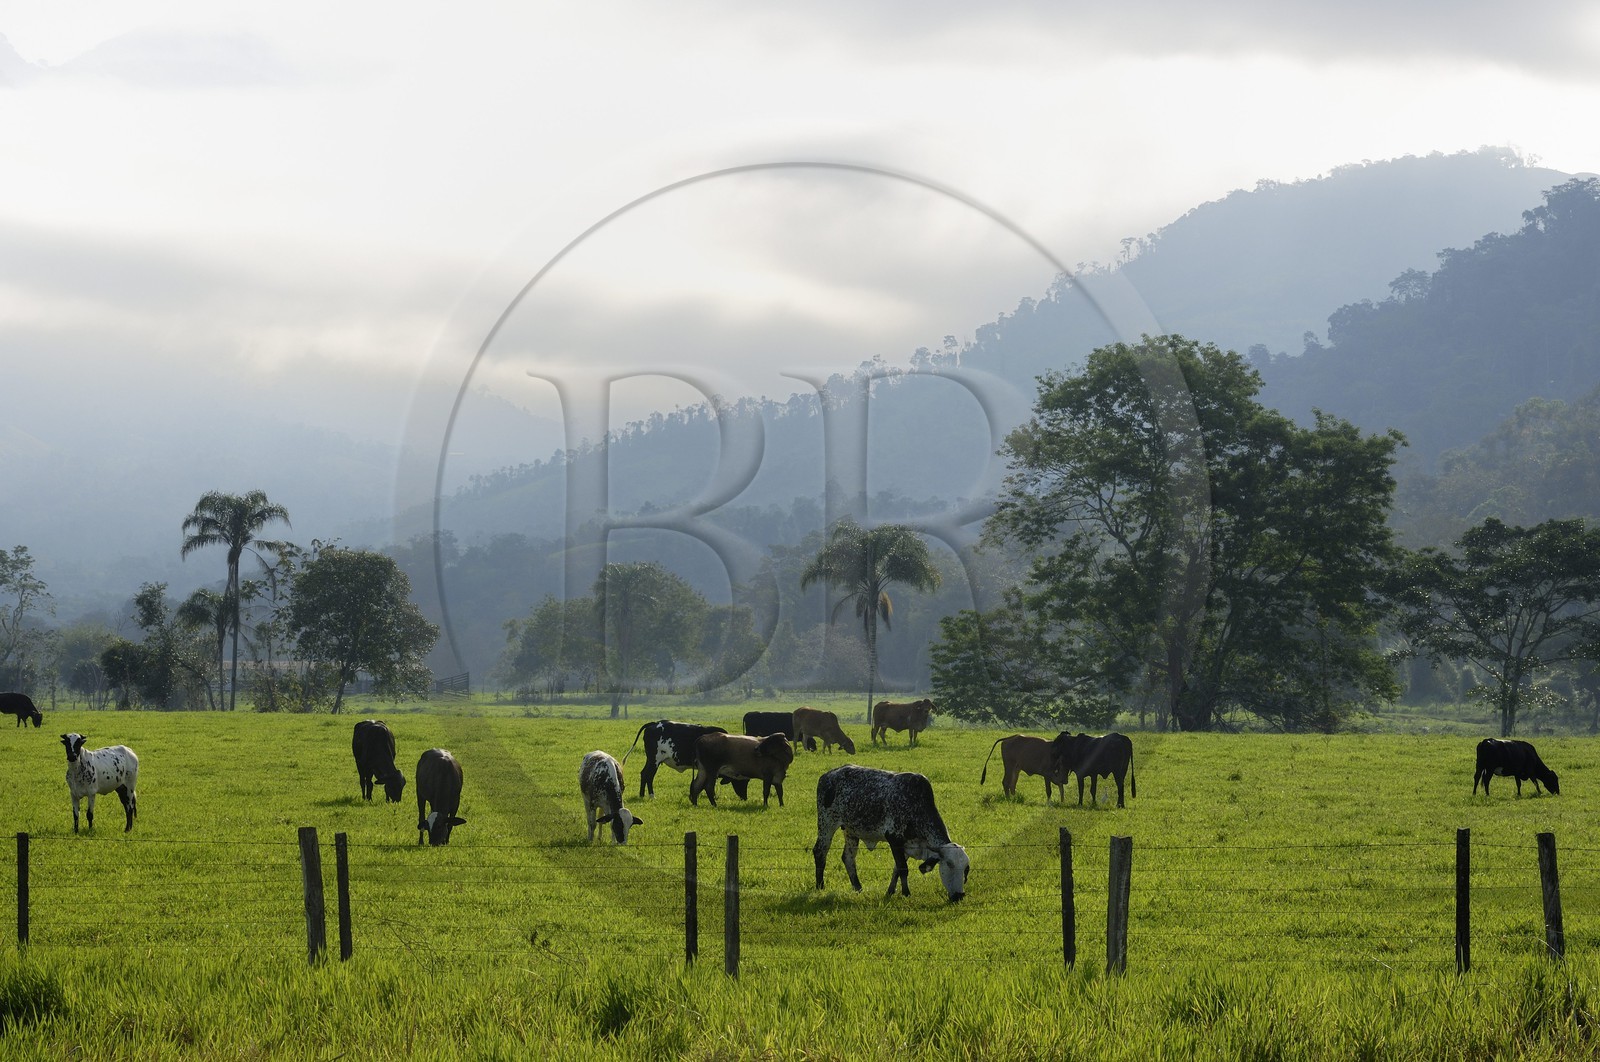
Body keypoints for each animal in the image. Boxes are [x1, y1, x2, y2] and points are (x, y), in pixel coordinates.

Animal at [813, 764, 968, 901]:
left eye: (966, 869)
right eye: (949, 864)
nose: (959, 896)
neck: (916, 804)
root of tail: (828, 775)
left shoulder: (906, 846)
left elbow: (896, 870)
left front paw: (890, 891)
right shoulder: (894, 839)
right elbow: (903, 869)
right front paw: (906, 893)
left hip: (851, 831)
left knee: (848, 858)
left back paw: (858, 888)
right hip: (826, 824)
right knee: (820, 852)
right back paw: (820, 887)